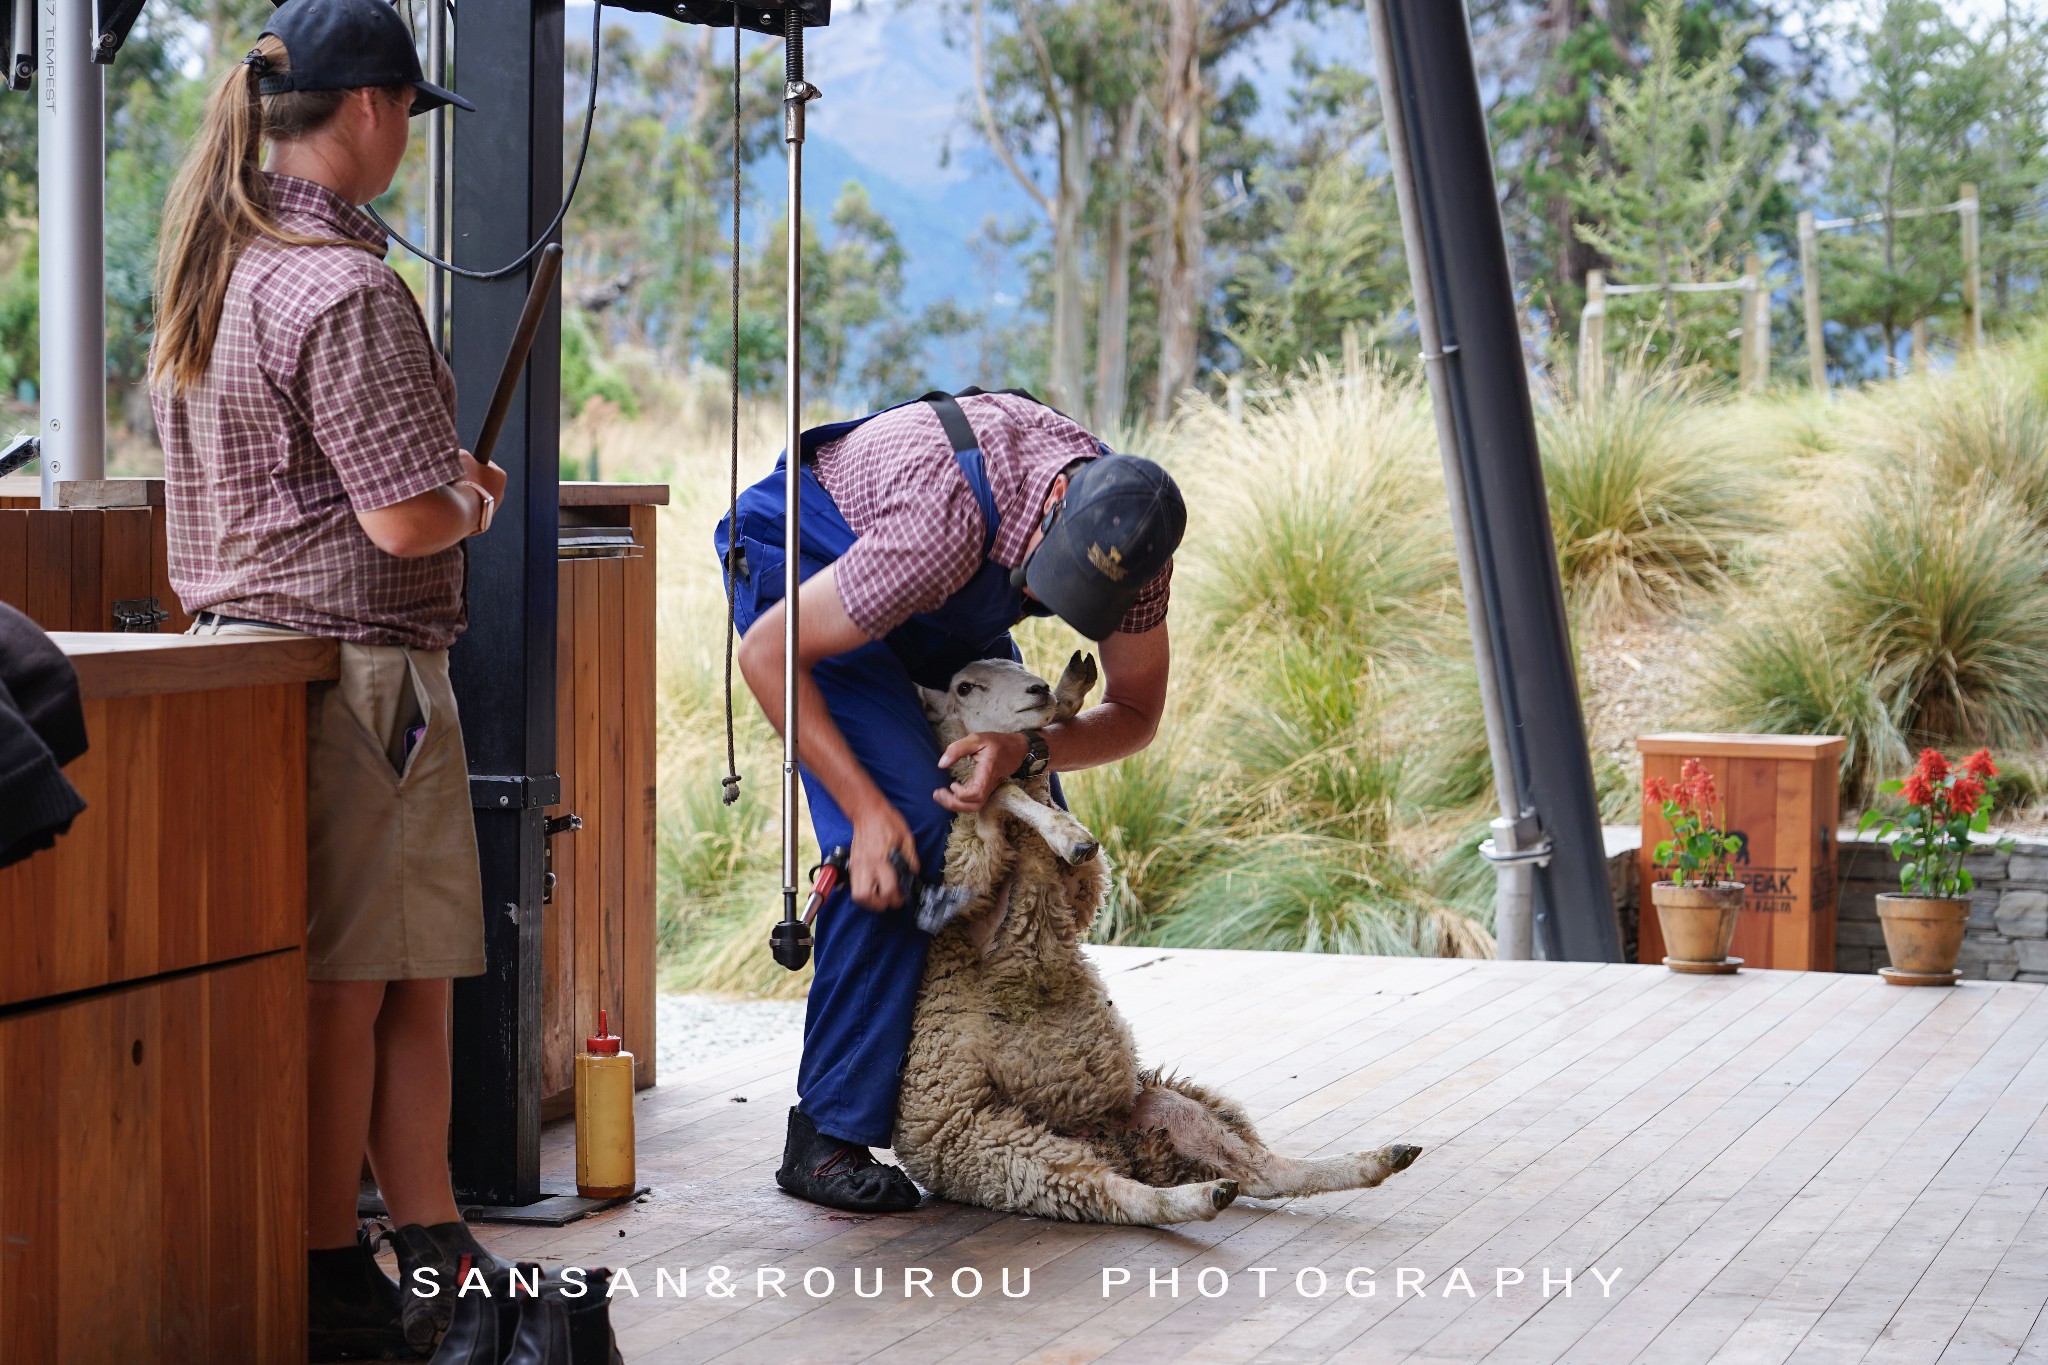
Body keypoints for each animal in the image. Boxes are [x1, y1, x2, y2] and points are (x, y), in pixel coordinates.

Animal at [897, 650, 1425, 1227]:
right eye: (965, 687)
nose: (1036, 688)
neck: (1030, 860)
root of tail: (1104, 1137)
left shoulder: (1077, 896)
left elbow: (1033, 813)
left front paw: (1069, 696)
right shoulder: (968, 901)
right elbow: (997, 796)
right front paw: (1065, 831)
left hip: (1169, 1108)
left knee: (1262, 1171)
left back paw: (1375, 1160)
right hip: (1008, 1151)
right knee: (1123, 1196)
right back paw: (1201, 1196)